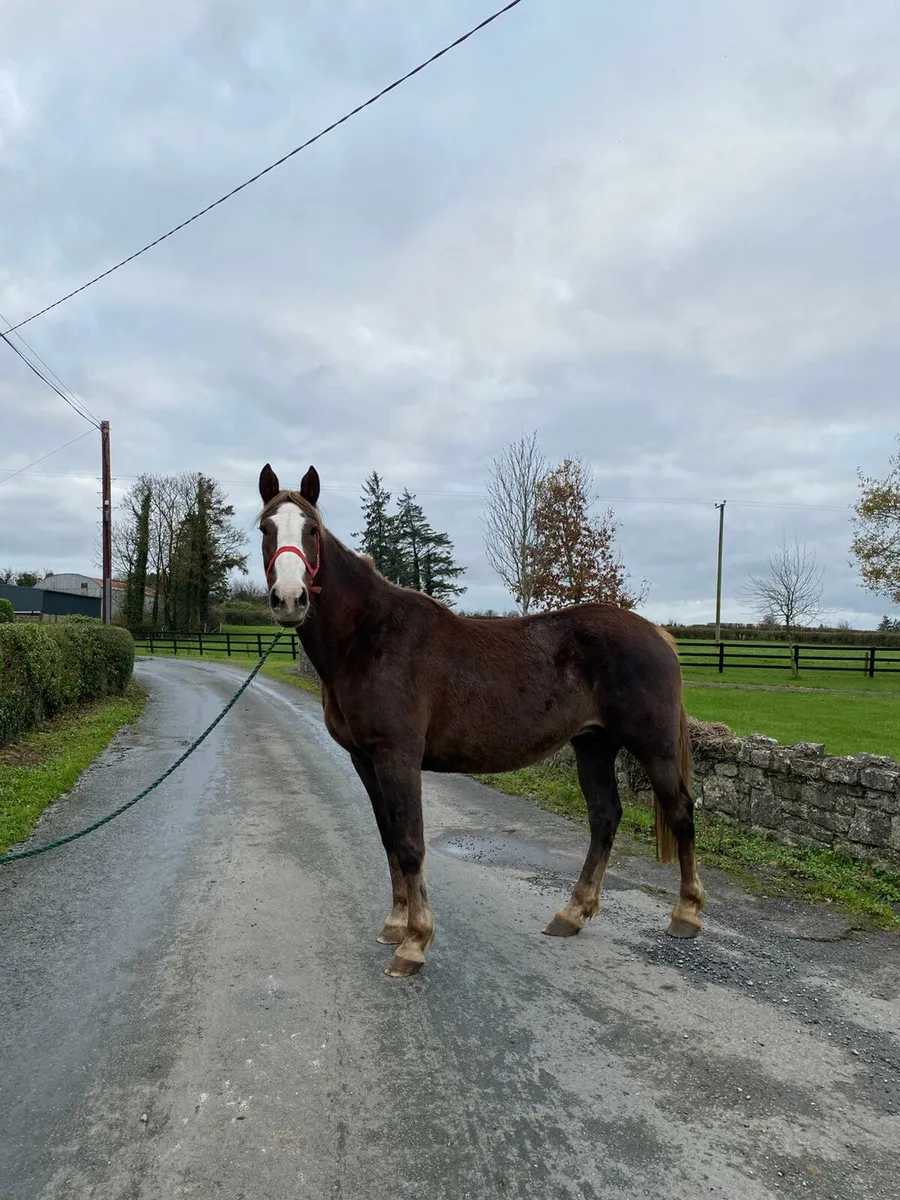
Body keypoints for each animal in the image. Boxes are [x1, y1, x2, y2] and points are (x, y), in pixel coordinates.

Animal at [257, 463, 706, 979]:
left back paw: (686, 914)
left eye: (311, 530)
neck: (368, 637)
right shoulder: (363, 760)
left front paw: (414, 942)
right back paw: (572, 913)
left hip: (653, 746)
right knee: (605, 817)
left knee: (680, 811)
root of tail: (656, 633)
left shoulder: (397, 757)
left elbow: (410, 843)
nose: (289, 599)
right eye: (266, 529)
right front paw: (395, 923)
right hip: (594, 744)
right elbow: (389, 838)